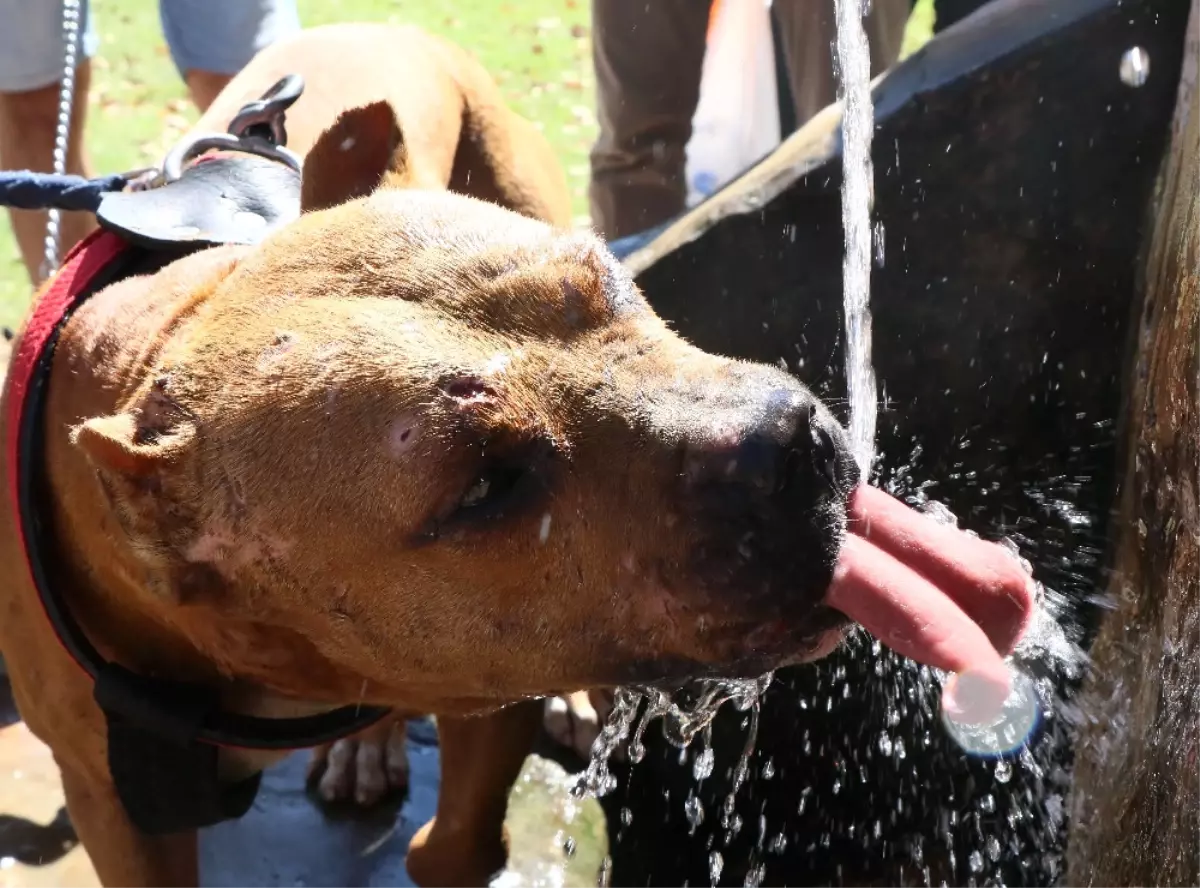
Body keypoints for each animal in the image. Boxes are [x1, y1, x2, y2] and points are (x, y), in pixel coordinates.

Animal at [0, 20, 1036, 888]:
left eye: (611, 281)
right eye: (484, 487)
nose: (789, 446)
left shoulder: (490, 690)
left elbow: (455, 841)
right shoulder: (112, 805)